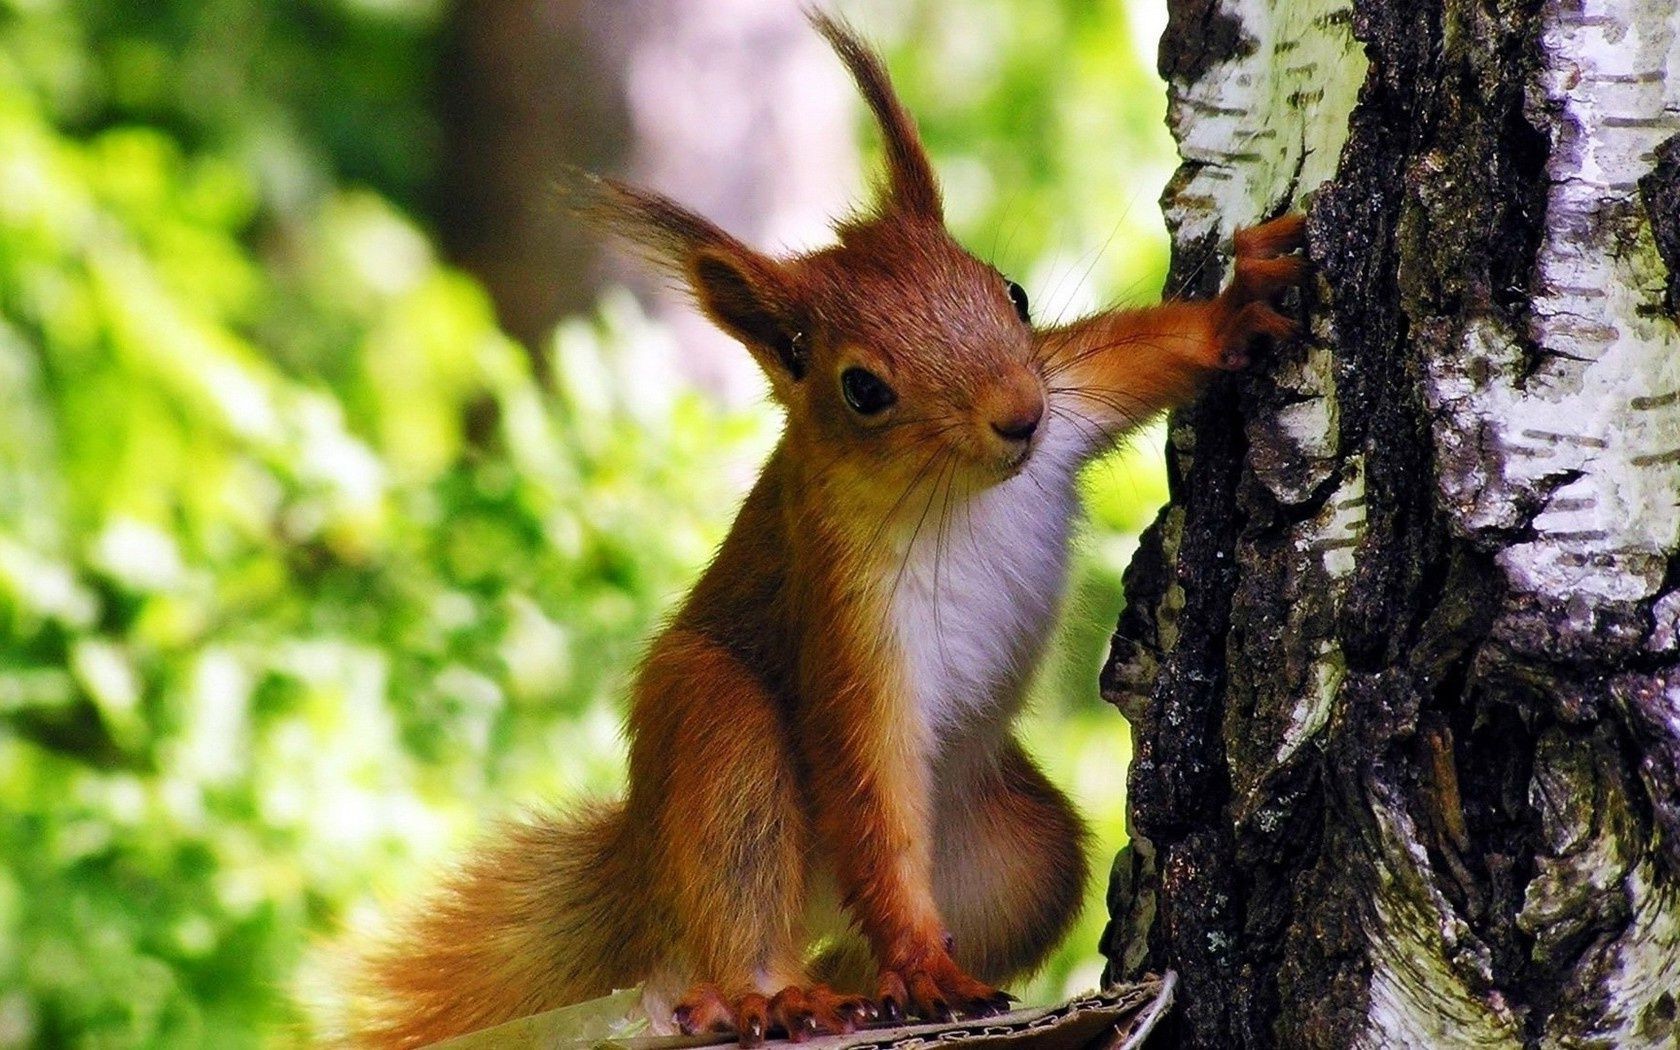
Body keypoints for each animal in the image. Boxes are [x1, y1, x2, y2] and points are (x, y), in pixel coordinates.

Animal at [347, 10, 1303, 1048]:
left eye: (1008, 292)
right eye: (864, 390)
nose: (1018, 416)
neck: (961, 492)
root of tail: (647, 871)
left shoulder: (1070, 396)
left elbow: (1139, 355)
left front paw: (1236, 309)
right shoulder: (846, 608)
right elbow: (868, 786)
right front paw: (923, 961)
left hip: (1018, 855)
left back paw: (871, 990)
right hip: (716, 735)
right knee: (736, 911)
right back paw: (775, 994)